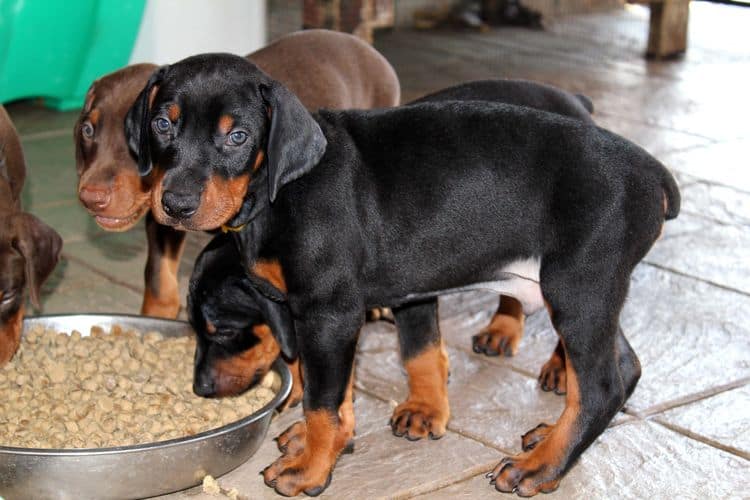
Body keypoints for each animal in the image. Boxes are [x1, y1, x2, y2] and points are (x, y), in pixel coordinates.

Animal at [125, 54, 680, 496]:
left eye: (237, 136)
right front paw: (330, 440)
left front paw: (311, 468)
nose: (175, 204)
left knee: (603, 384)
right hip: (586, 292)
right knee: (623, 366)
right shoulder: (332, 313)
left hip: (577, 286)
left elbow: (322, 397)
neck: (279, 191)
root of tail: (652, 172)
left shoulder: (328, 311)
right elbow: (338, 384)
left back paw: (539, 468)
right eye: (163, 125)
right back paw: (550, 437)